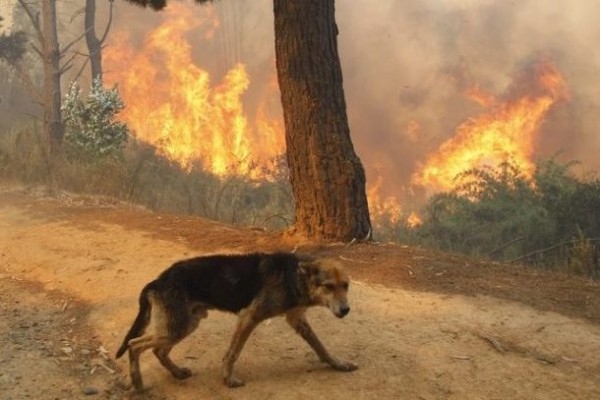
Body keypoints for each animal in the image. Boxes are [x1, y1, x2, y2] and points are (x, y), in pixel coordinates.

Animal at [117, 253, 356, 390]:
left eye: (345, 285)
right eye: (328, 287)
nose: (346, 310)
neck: (294, 276)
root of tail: (157, 281)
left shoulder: (297, 320)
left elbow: (321, 348)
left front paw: (339, 364)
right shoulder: (249, 316)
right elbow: (232, 354)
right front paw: (228, 380)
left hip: (184, 325)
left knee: (158, 351)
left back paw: (177, 373)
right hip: (176, 328)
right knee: (134, 345)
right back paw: (138, 384)